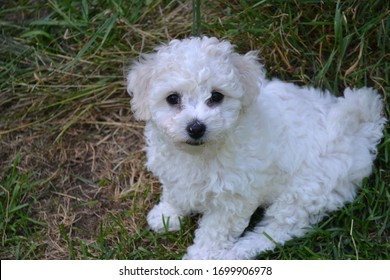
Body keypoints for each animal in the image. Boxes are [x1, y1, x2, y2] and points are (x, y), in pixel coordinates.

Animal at [126, 36, 386, 260]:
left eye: (216, 96)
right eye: (172, 98)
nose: (196, 127)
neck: (201, 153)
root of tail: (359, 132)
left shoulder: (232, 200)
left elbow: (215, 231)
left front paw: (201, 258)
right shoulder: (174, 173)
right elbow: (175, 193)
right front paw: (166, 215)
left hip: (305, 191)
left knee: (278, 230)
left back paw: (238, 251)